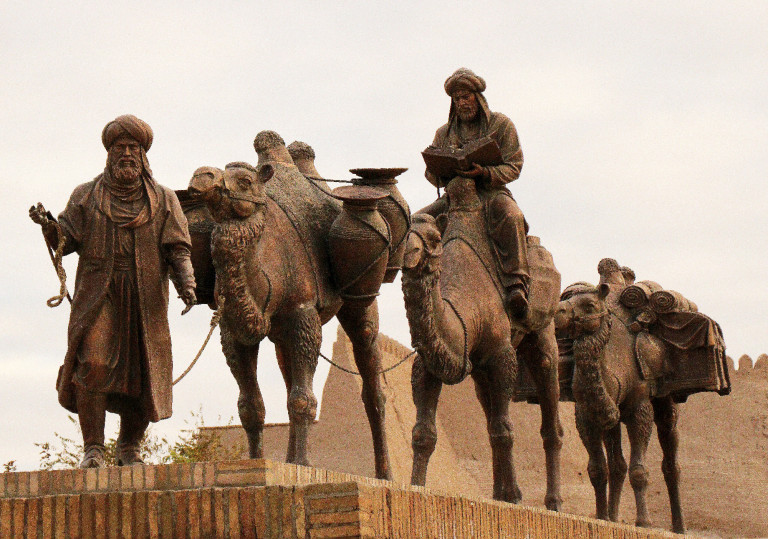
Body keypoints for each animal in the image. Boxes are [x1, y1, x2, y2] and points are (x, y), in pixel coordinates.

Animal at [184, 141, 390, 478]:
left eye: (245, 181)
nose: (203, 175)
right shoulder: (233, 330)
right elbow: (250, 406)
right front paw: (257, 462)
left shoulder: (303, 316)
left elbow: (303, 399)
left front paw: (304, 465)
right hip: (281, 337)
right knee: (287, 380)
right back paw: (291, 458)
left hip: (361, 302)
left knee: (372, 383)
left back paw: (385, 474)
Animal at [402, 177, 564, 510]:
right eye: (404, 234)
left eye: (434, 239)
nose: (408, 255)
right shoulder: (430, 362)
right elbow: (424, 432)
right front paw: (416, 488)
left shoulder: (501, 354)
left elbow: (504, 430)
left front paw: (514, 499)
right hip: (479, 373)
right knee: (487, 412)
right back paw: (499, 494)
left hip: (543, 333)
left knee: (549, 420)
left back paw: (552, 502)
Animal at [556, 260, 688, 532]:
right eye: (567, 298)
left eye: (590, 305)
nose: (558, 312)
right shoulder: (587, 414)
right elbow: (598, 469)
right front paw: (601, 517)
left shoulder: (640, 408)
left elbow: (639, 471)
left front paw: (644, 521)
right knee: (617, 465)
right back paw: (614, 516)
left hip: (666, 403)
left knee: (671, 458)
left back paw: (679, 525)